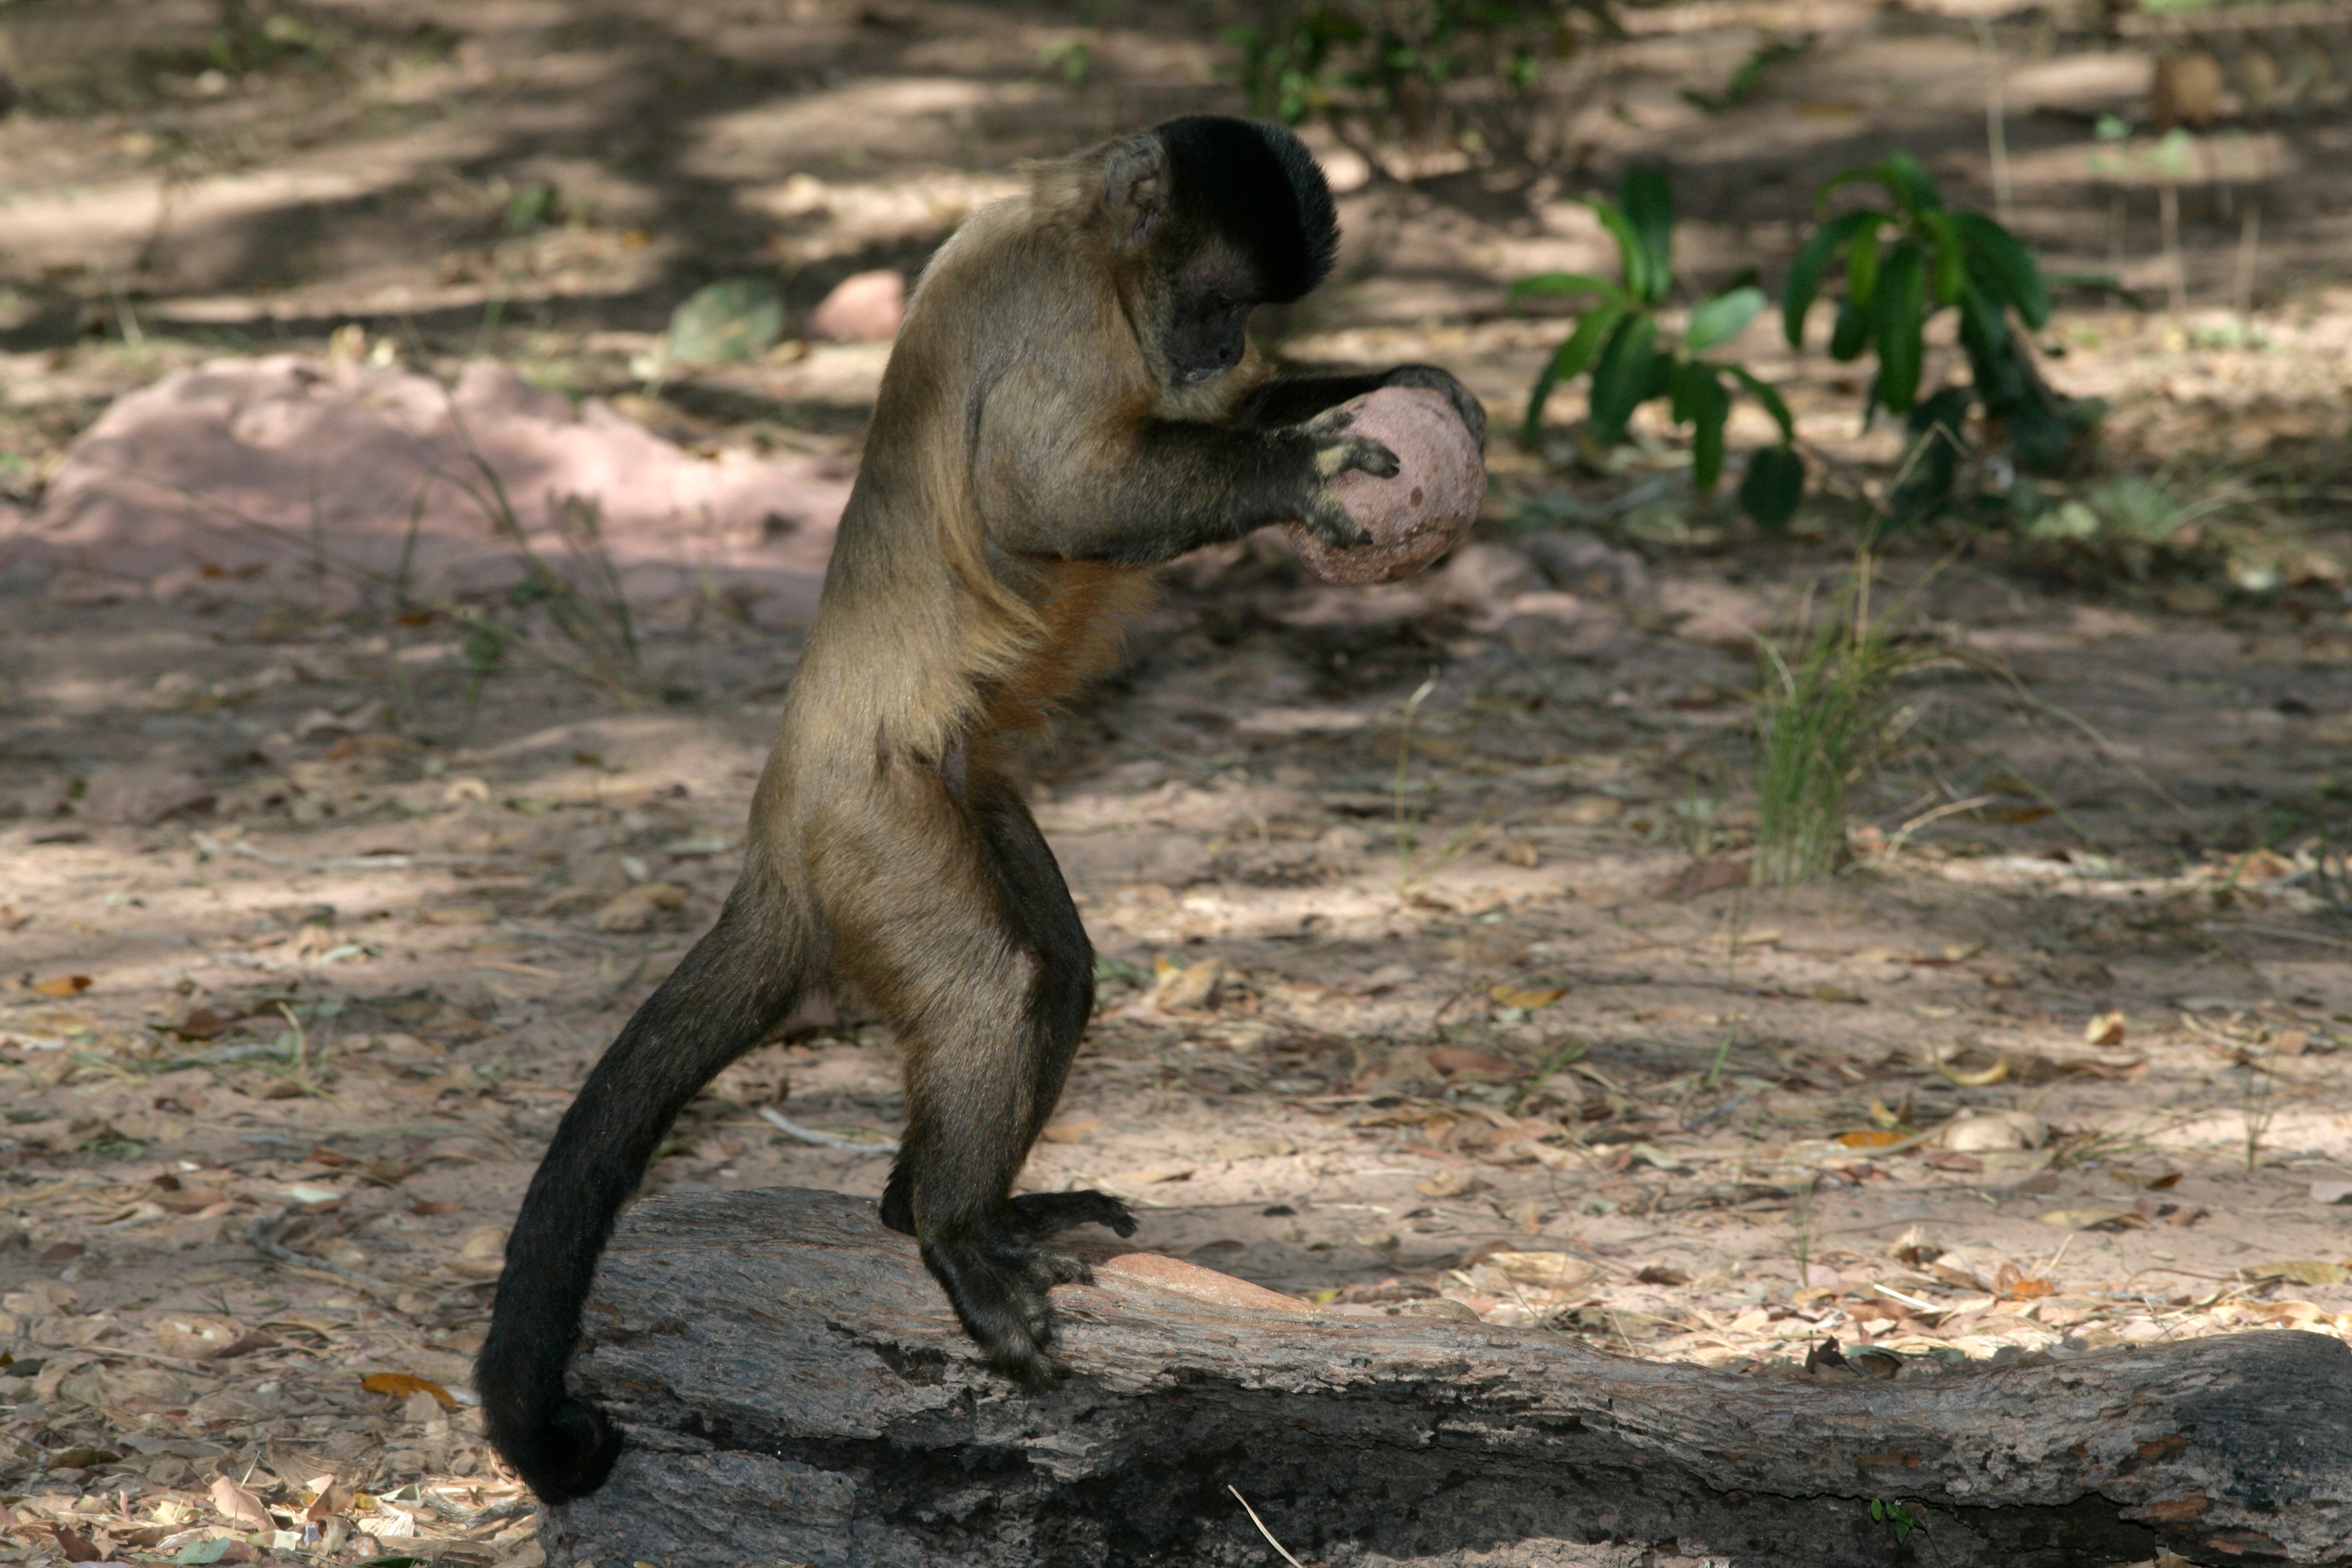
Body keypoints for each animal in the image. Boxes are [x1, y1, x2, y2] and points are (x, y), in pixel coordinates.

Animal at [468, 116, 1477, 1504]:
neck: (1080, 228)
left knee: (1056, 968)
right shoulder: (1061, 309)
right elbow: (1052, 497)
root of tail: (777, 822)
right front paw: (1294, 467)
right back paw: (952, 1240)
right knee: (995, 982)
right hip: (871, 825)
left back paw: (947, 1211)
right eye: (1215, 301)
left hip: (958, 786)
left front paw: (1391, 376)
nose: (1221, 345)